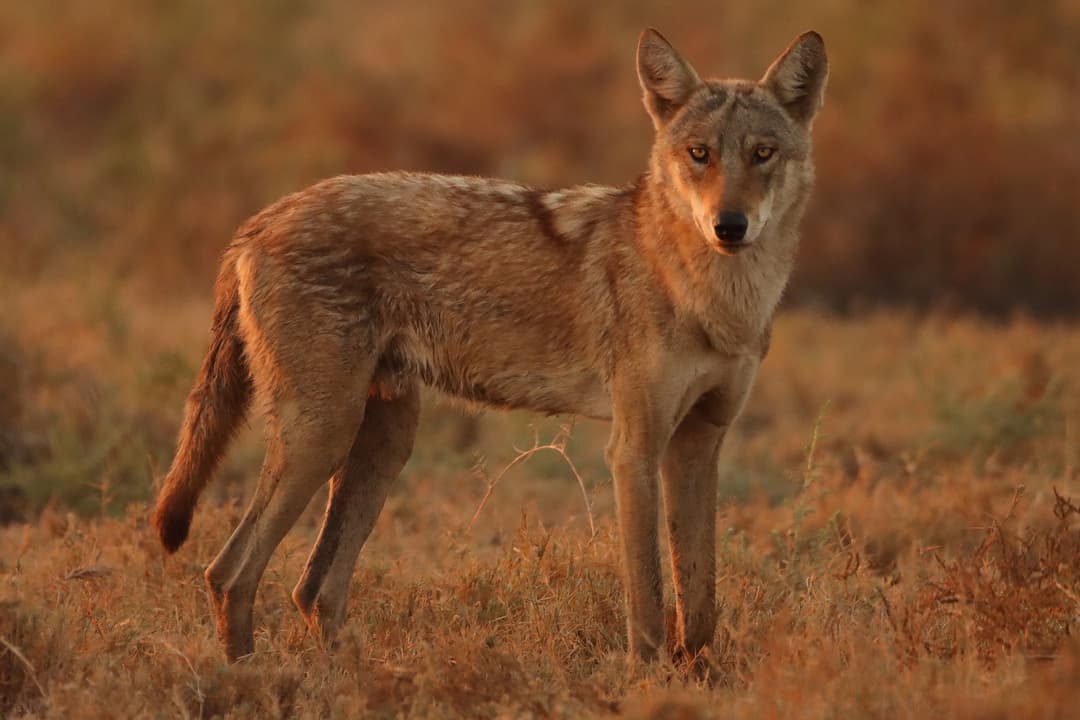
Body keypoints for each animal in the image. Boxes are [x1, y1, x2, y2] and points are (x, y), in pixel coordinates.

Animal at [152, 28, 828, 666]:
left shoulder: (697, 444)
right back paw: (253, 682)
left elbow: (701, 601)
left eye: (762, 154)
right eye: (699, 155)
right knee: (230, 574)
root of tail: (258, 221)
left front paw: (699, 678)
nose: (730, 226)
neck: (714, 298)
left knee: (313, 589)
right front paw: (649, 681)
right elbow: (648, 600)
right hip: (322, 437)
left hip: (385, 440)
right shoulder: (633, 448)